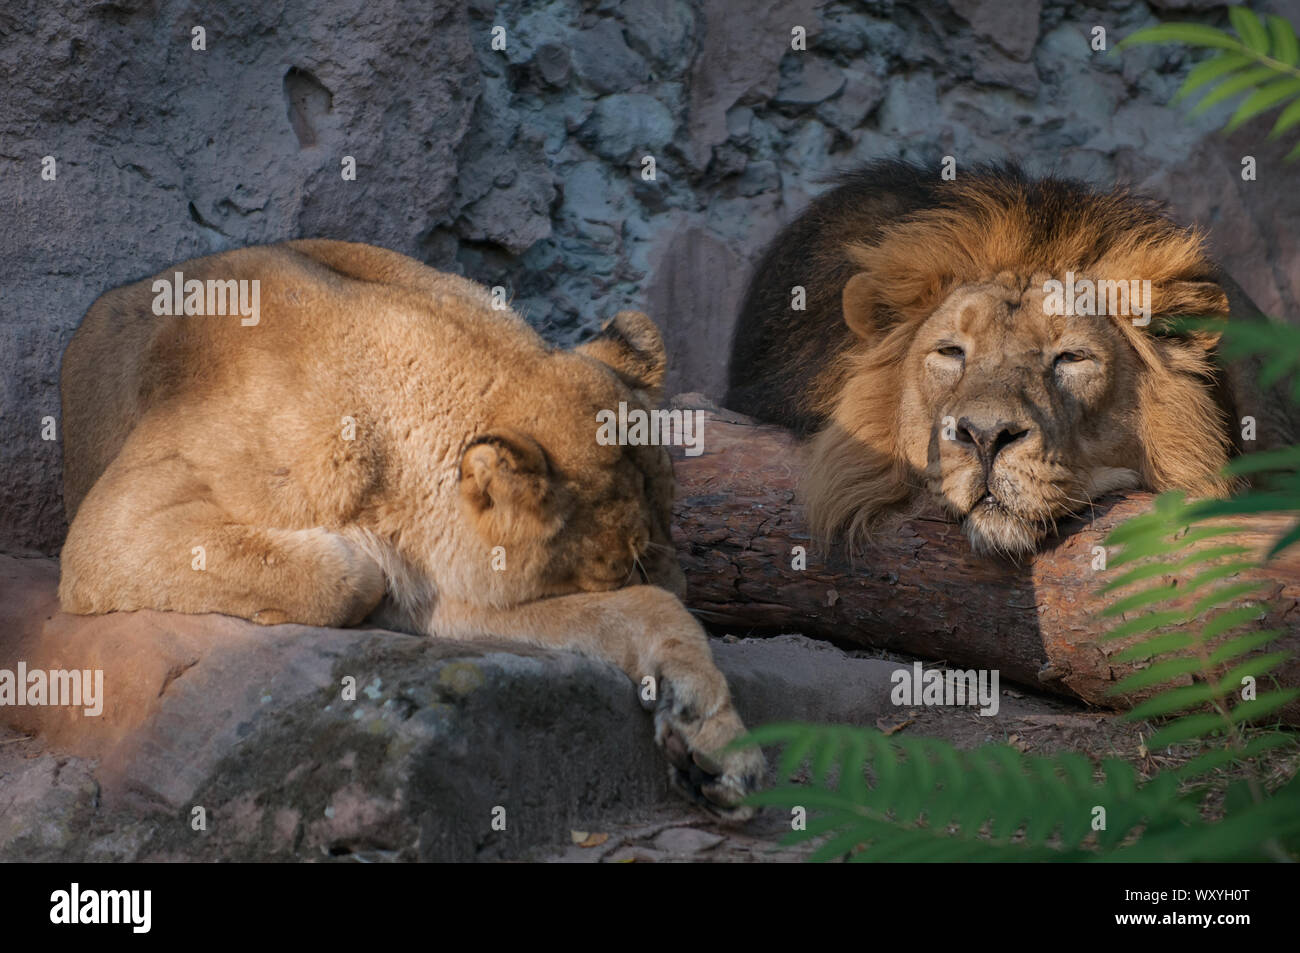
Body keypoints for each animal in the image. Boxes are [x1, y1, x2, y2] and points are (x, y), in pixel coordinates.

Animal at [58, 239, 762, 817]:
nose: (690, 590)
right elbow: (345, 573)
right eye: (619, 566)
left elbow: (643, 613)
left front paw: (712, 738)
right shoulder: (113, 524)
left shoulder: (449, 594)